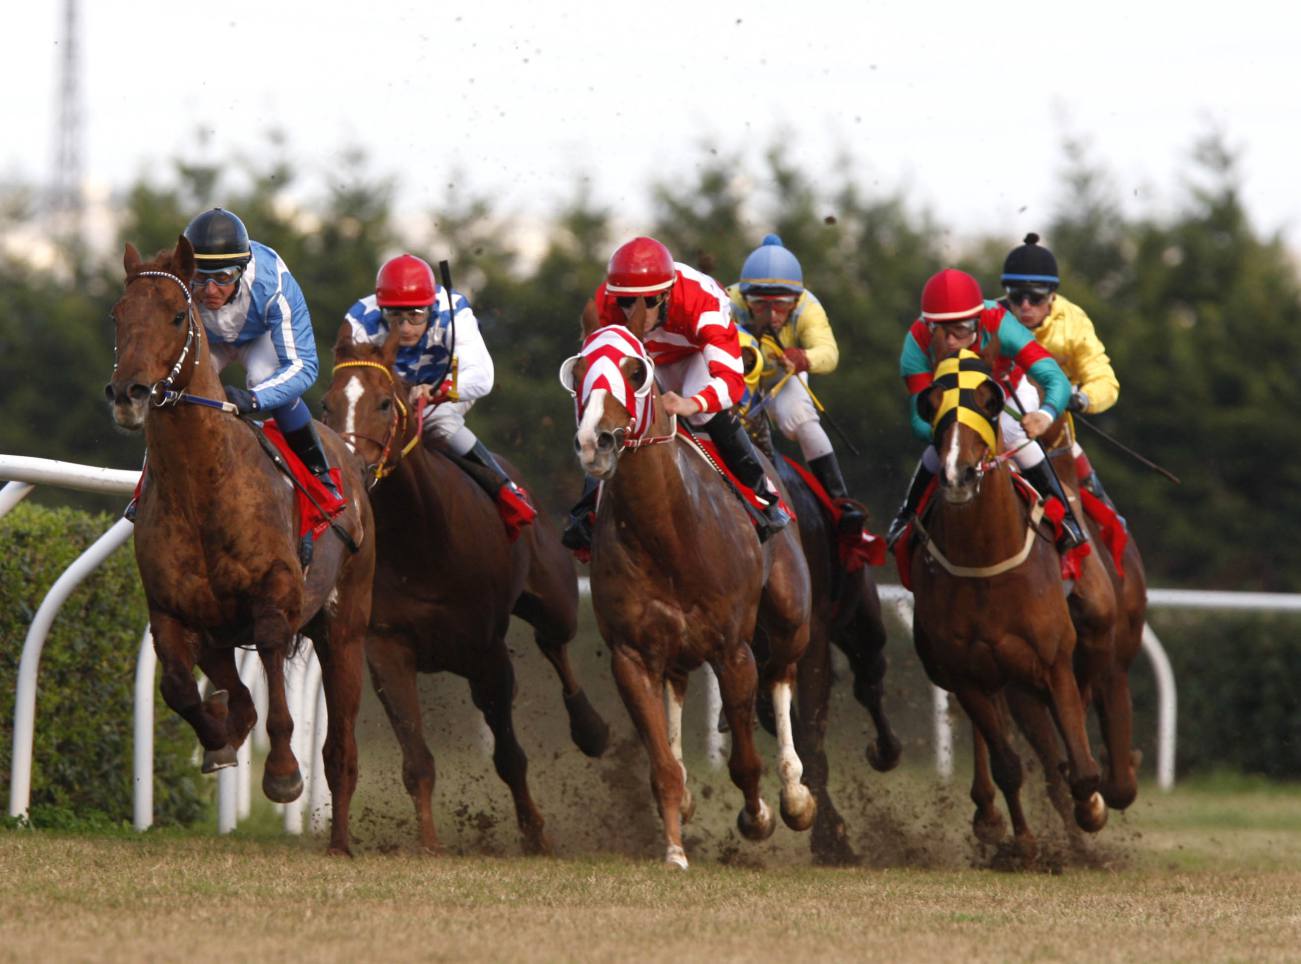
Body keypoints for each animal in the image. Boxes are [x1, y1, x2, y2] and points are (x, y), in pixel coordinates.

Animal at [104, 239, 374, 848]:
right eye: (118, 315)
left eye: (175, 317)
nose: (128, 393)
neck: (203, 485)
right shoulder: (171, 610)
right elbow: (180, 688)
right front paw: (218, 738)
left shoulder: (273, 597)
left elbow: (275, 683)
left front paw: (282, 773)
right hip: (221, 629)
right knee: (232, 687)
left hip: (344, 629)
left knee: (342, 745)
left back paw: (341, 841)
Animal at [322, 325, 611, 858]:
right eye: (328, 405)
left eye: (383, 404)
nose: (350, 467)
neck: (422, 539)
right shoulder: (387, 647)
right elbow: (417, 759)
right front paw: (429, 842)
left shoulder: (486, 651)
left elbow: (510, 756)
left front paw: (535, 833)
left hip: (555, 598)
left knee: (555, 643)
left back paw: (591, 729)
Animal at [559, 299, 811, 863]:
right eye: (578, 374)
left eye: (636, 371)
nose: (594, 442)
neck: (668, 533)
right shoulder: (631, 654)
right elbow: (662, 766)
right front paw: (674, 849)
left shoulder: (733, 649)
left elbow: (745, 760)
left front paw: (758, 817)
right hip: (673, 649)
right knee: (675, 689)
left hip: (789, 614)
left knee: (782, 676)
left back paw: (795, 792)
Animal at [744, 392, 905, 863]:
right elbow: (789, 723)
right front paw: (827, 830)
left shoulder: (811, 633)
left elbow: (813, 732)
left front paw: (830, 837)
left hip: (860, 614)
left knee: (869, 677)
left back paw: (886, 749)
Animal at [910, 348, 1103, 858]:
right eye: (932, 406)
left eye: (990, 405)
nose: (956, 473)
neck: (986, 563)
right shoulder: (963, 671)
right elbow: (1008, 764)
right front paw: (1024, 842)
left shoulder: (1054, 662)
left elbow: (1081, 768)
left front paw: (1091, 809)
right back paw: (990, 818)